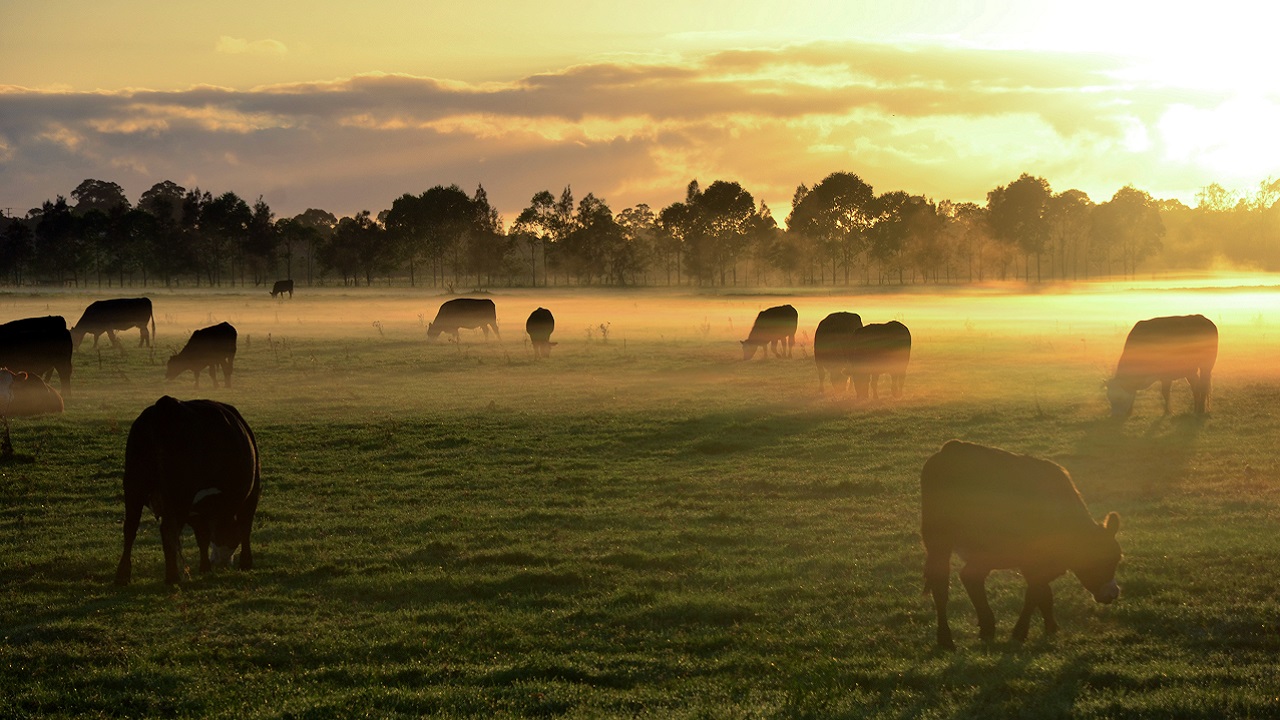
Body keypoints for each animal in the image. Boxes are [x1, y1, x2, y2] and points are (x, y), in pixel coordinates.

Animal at [115, 392, 262, 584]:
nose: (222, 563)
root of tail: (166, 405)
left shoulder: (197, 513)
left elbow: (203, 537)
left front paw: (204, 567)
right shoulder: (252, 494)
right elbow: (245, 527)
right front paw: (245, 563)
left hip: (134, 486)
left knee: (130, 528)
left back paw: (122, 576)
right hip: (178, 495)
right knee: (168, 530)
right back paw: (172, 577)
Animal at [921, 440, 1121, 648]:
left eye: (1117, 559)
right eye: (1104, 561)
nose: (1113, 593)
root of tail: (953, 448)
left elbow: (1044, 594)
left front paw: (1050, 627)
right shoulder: (1034, 561)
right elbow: (1035, 593)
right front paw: (1020, 632)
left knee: (955, 579)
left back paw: (974, 631)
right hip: (968, 545)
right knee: (955, 581)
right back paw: (954, 636)